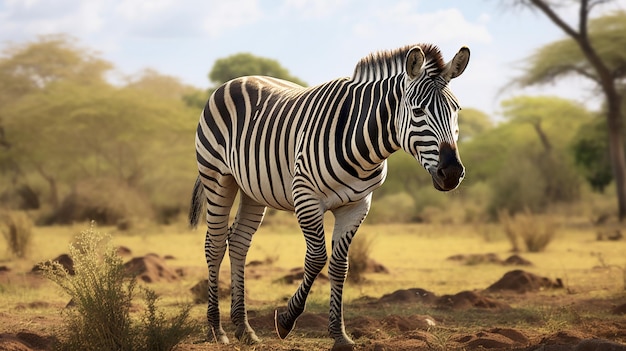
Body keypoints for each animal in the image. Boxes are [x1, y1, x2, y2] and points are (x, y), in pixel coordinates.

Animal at [190, 42, 468, 350]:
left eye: (456, 110)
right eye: (418, 111)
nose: (452, 173)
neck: (362, 144)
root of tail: (235, 80)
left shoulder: (357, 205)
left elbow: (339, 265)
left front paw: (340, 335)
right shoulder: (306, 196)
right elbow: (316, 258)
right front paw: (286, 320)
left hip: (253, 189)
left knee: (239, 242)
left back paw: (244, 328)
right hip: (217, 176)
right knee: (215, 245)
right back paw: (217, 329)